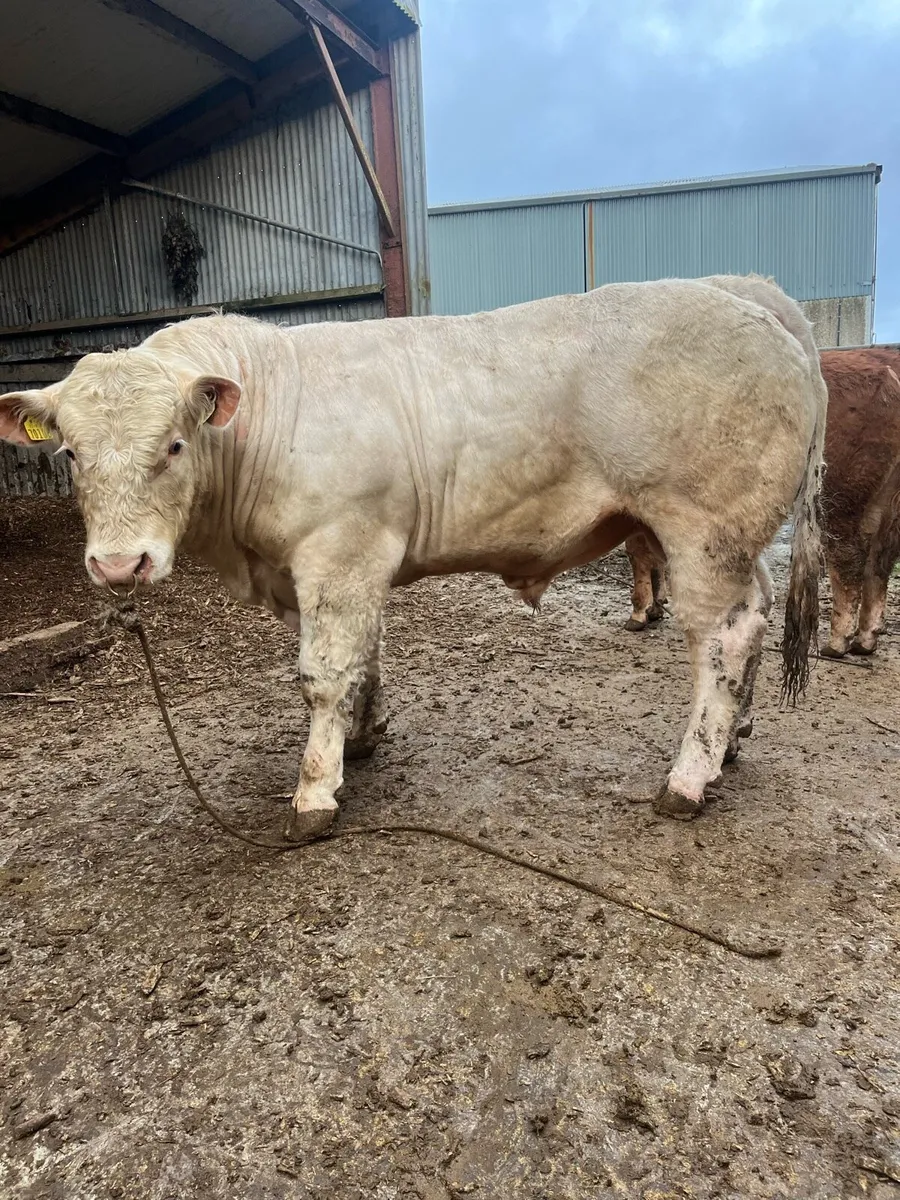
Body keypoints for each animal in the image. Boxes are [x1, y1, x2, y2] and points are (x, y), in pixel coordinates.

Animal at [0, 276, 825, 835]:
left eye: (173, 445)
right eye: (69, 454)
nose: (119, 567)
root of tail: (744, 292)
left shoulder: (339, 549)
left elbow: (323, 674)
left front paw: (315, 789)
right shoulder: (339, 567)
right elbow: (363, 655)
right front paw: (361, 739)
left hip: (701, 527)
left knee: (723, 638)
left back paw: (689, 776)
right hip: (732, 538)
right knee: (755, 616)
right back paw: (732, 744)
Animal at [624, 344, 900, 659]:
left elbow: (638, 553)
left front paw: (639, 612)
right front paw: (655, 607)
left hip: (840, 496)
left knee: (849, 558)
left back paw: (838, 642)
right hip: (884, 502)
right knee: (879, 561)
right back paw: (865, 639)